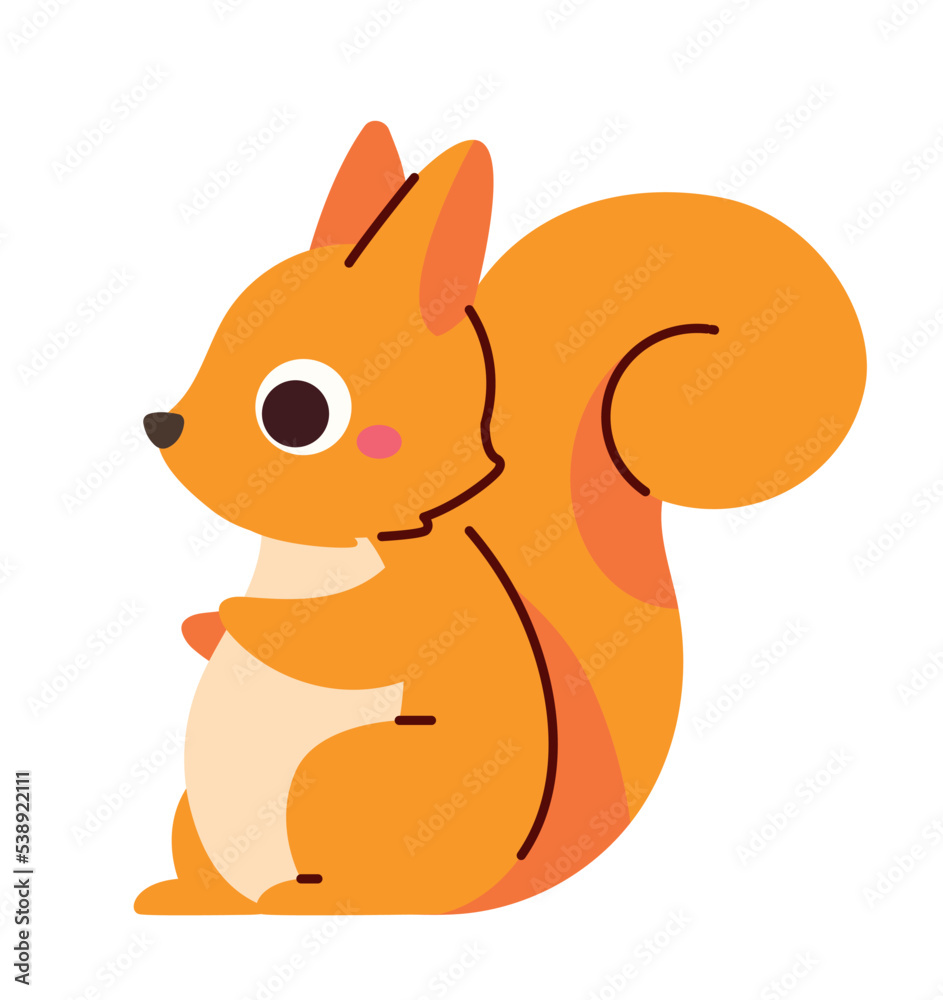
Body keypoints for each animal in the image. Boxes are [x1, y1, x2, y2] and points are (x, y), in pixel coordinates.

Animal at [134, 121, 866, 915]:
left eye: (296, 411)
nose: (161, 426)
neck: (321, 547)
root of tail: (481, 888)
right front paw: (205, 627)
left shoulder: (427, 594)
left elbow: (355, 637)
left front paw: (240, 615)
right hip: (199, 819)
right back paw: (188, 896)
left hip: (341, 779)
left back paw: (304, 899)